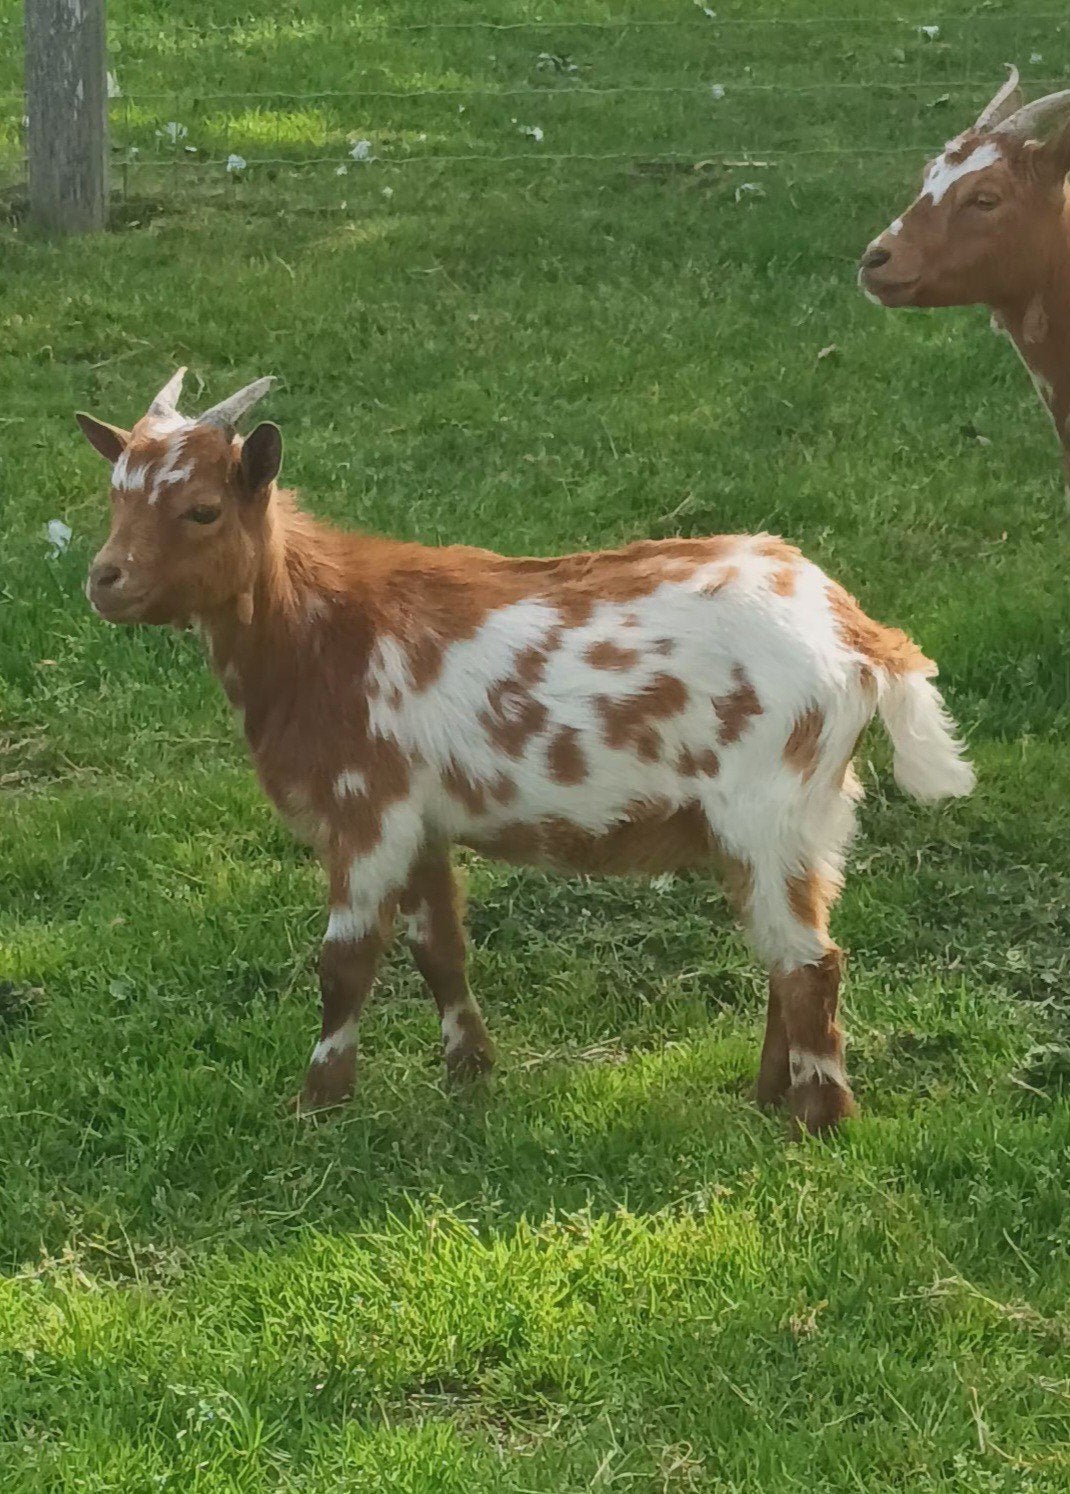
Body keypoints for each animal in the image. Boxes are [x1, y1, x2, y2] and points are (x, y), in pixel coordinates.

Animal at [78, 371, 975, 1134]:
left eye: (202, 510)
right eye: (113, 498)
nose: (104, 579)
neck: (319, 633)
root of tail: (858, 634)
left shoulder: (368, 811)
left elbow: (344, 963)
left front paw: (316, 1105)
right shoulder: (422, 821)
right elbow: (439, 947)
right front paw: (469, 1072)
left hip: (773, 808)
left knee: (810, 964)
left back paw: (818, 1122)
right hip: (798, 821)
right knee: (780, 956)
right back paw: (767, 1097)